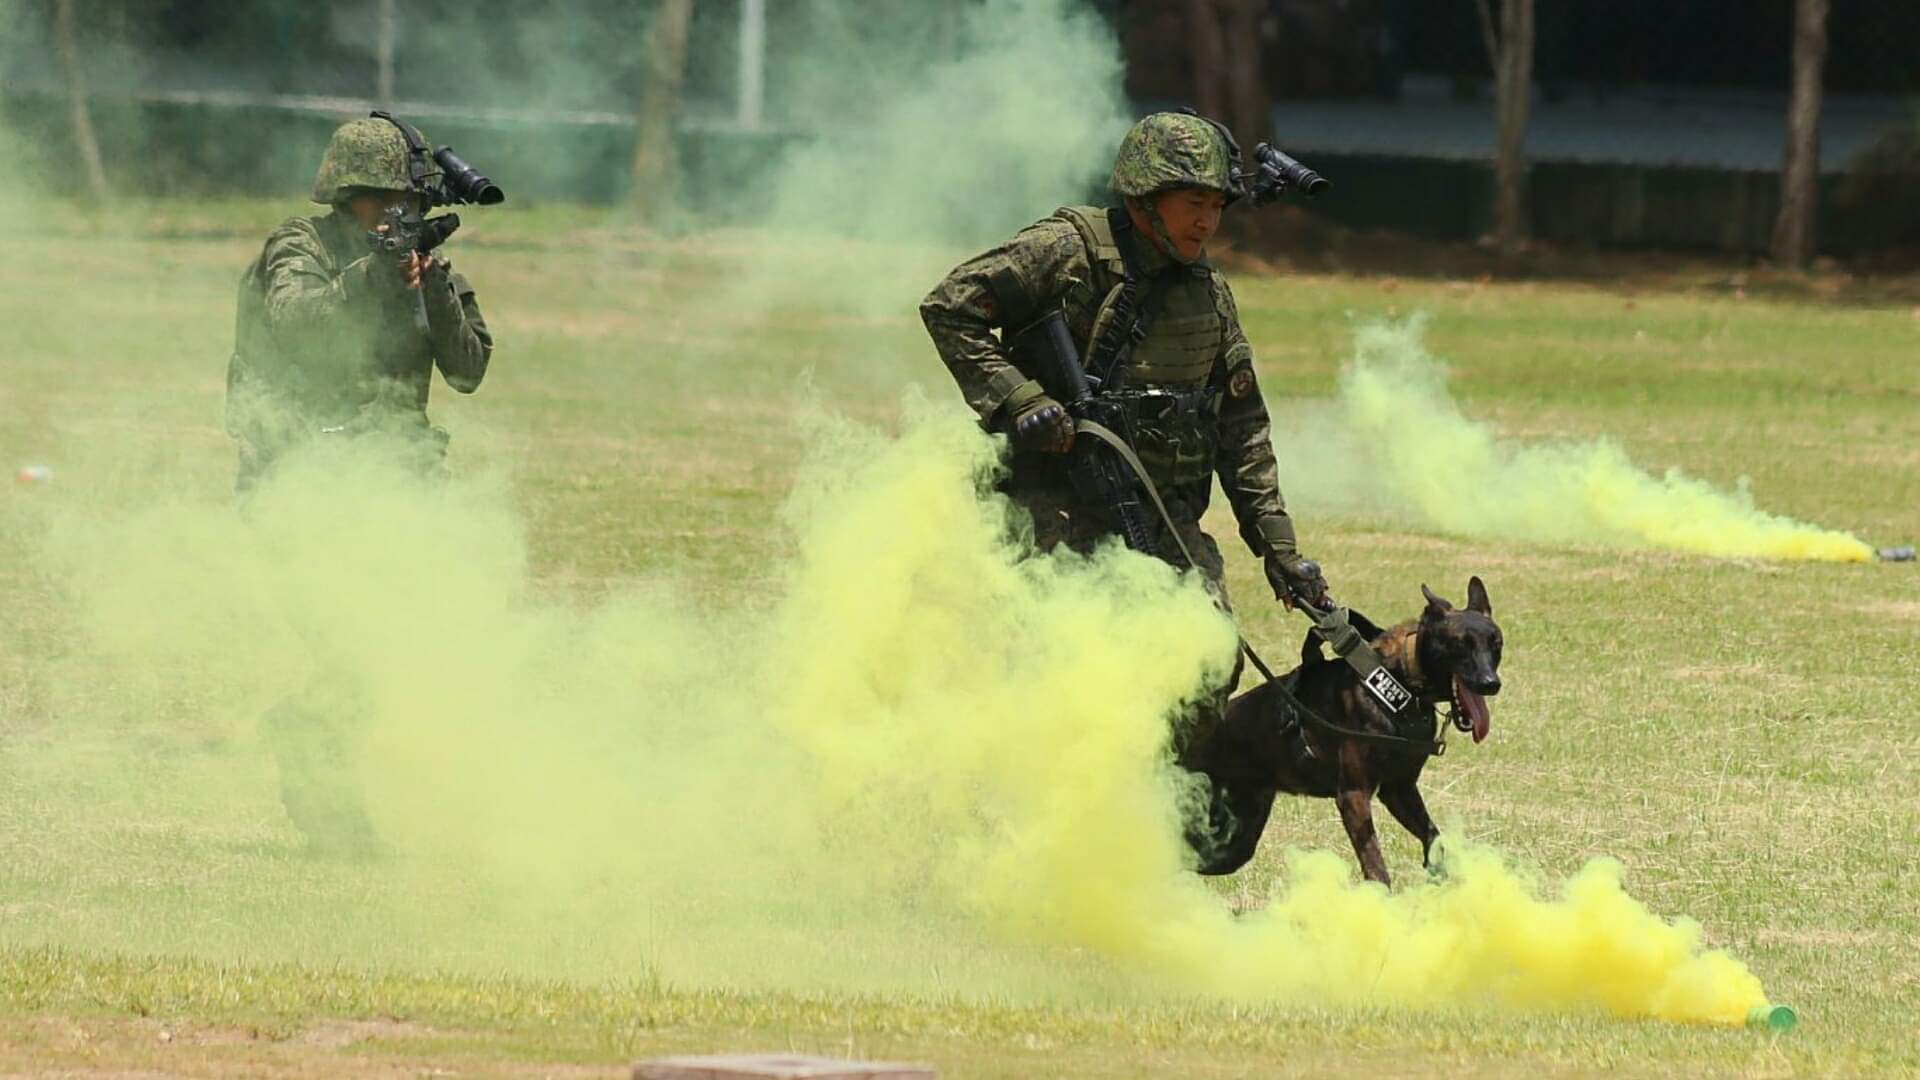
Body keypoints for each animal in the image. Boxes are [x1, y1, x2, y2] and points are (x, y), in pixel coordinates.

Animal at [1182, 576, 1497, 887]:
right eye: (1459, 644)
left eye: (1496, 644)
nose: (1491, 683)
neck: (1401, 684)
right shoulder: (1353, 797)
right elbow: (1376, 869)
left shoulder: (1399, 790)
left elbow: (1434, 838)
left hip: (1237, 841)